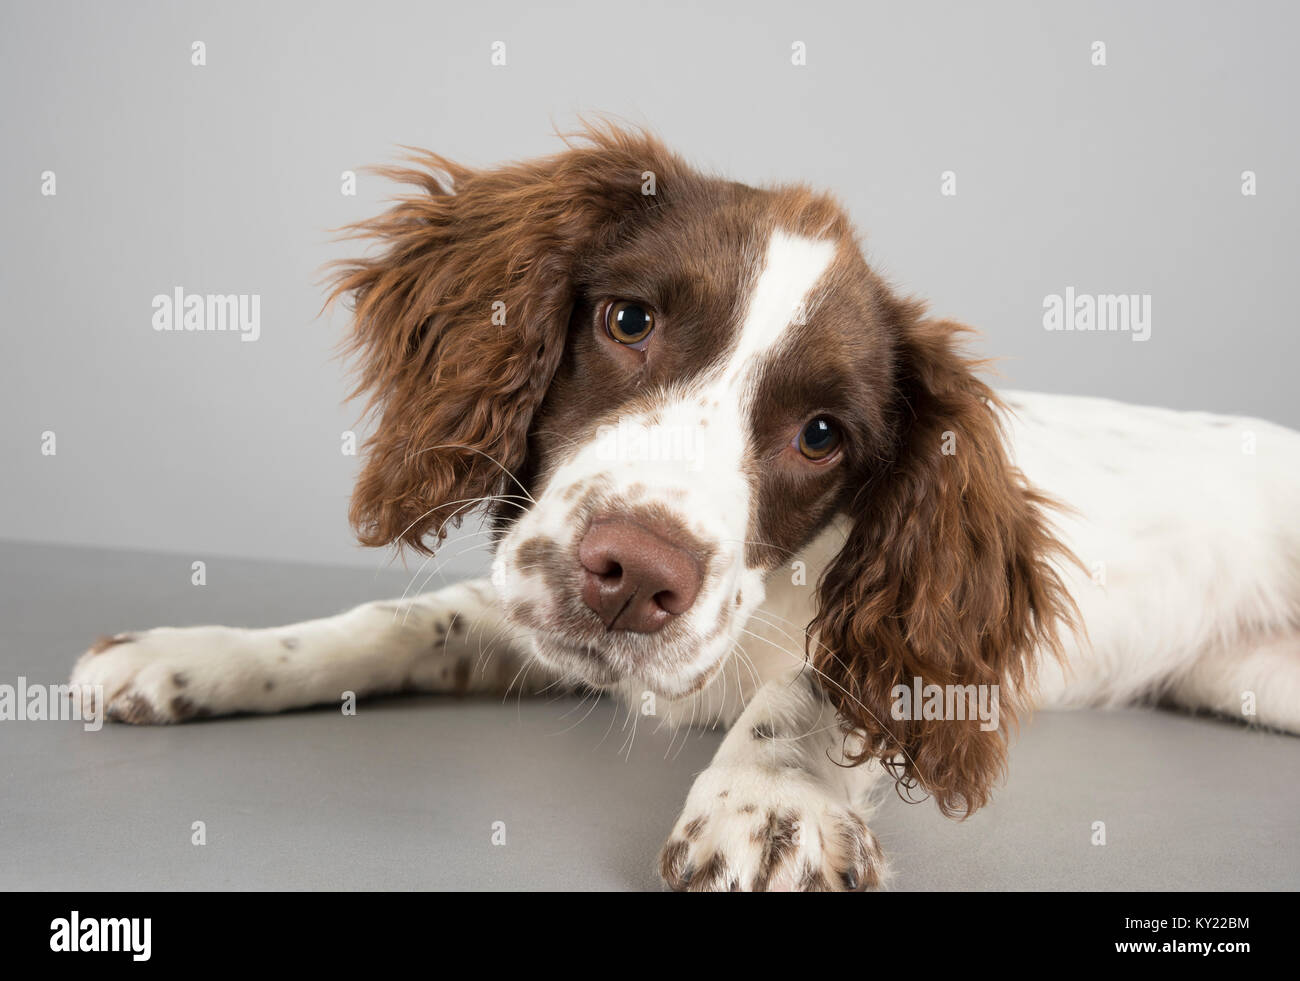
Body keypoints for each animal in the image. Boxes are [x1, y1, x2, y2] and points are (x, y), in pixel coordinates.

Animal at [71, 122, 1300, 888]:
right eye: (629, 321)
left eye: (822, 435)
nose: (634, 577)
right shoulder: (539, 610)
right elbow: (400, 622)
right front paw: (197, 654)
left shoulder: (887, 649)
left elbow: (815, 682)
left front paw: (766, 806)